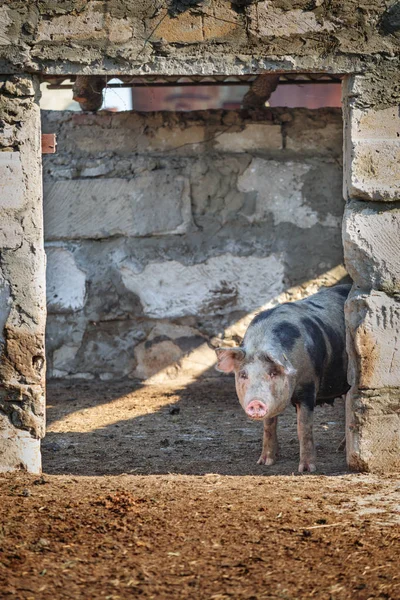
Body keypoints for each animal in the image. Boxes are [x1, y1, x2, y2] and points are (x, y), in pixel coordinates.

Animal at [216, 284, 350, 472]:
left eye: (273, 373)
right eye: (243, 375)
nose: (256, 402)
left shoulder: (308, 386)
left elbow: (303, 426)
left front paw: (306, 469)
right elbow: (269, 426)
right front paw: (264, 462)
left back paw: (341, 449)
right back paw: (340, 448)